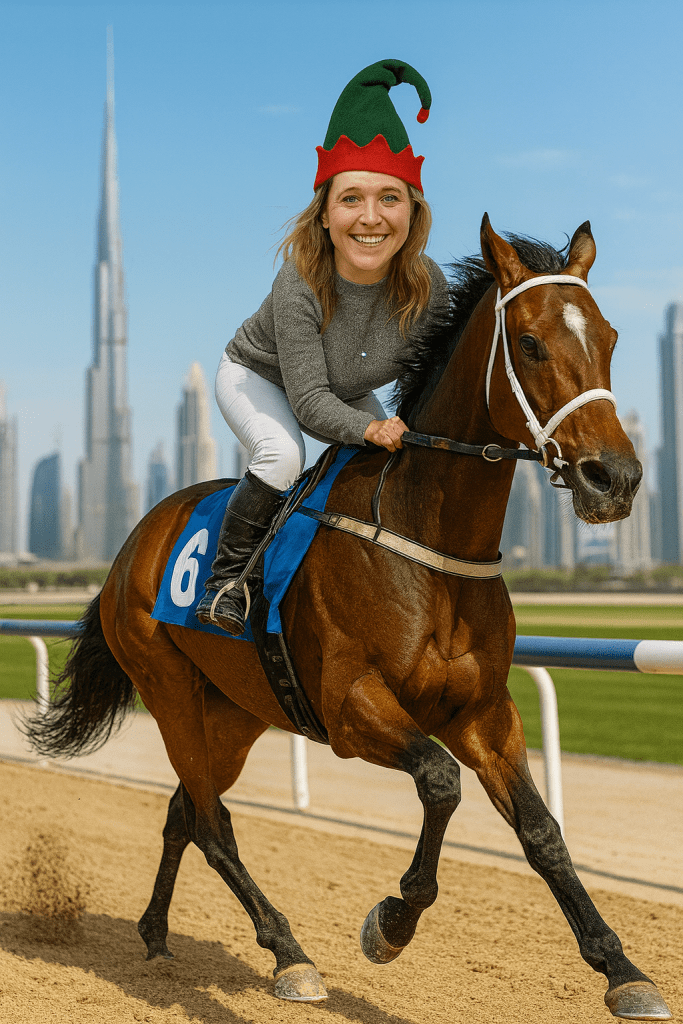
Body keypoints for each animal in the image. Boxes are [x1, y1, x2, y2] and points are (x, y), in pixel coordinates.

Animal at [26, 216, 671, 1020]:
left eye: (609, 336)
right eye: (528, 342)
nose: (614, 478)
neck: (428, 542)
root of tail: (130, 544)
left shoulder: (484, 710)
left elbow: (541, 830)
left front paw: (622, 969)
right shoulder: (350, 706)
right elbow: (440, 781)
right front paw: (390, 922)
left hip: (236, 709)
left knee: (184, 810)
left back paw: (155, 931)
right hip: (168, 688)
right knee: (212, 823)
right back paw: (288, 951)